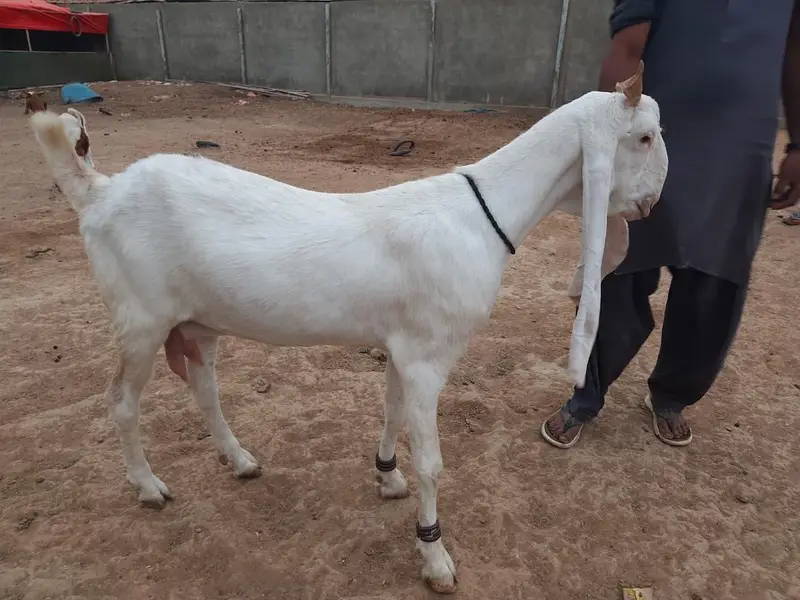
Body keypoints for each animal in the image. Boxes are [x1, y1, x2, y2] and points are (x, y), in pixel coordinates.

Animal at [29, 62, 666, 594]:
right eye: (644, 137)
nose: (654, 203)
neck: (482, 214)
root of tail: (101, 192)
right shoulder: (429, 358)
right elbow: (433, 463)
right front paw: (435, 558)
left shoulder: (402, 348)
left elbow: (390, 411)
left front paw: (387, 478)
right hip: (141, 319)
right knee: (121, 402)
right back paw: (149, 487)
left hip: (197, 322)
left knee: (204, 390)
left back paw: (241, 461)